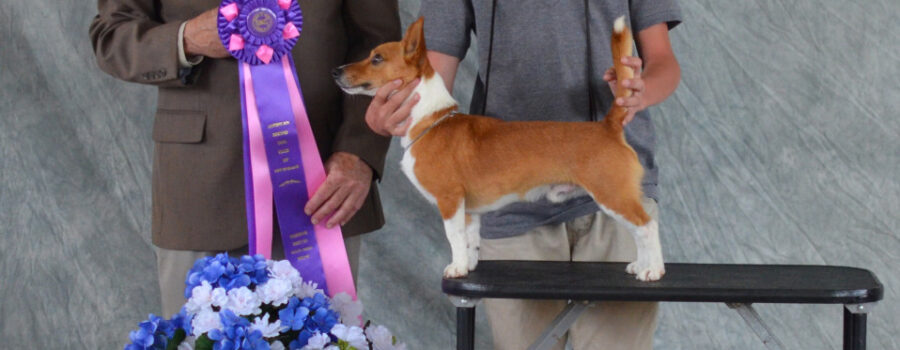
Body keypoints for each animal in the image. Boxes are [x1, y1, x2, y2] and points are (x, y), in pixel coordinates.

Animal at [330, 17, 660, 284]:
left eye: (376, 58)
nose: (335, 71)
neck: (431, 119)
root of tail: (608, 125)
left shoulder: (450, 201)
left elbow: (453, 238)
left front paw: (456, 268)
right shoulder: (468, 211)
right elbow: (470, 241)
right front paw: (469, 266)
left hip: (613, 195)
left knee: (648, 226)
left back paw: (653, 271)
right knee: (639, 231)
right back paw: (639, 265)